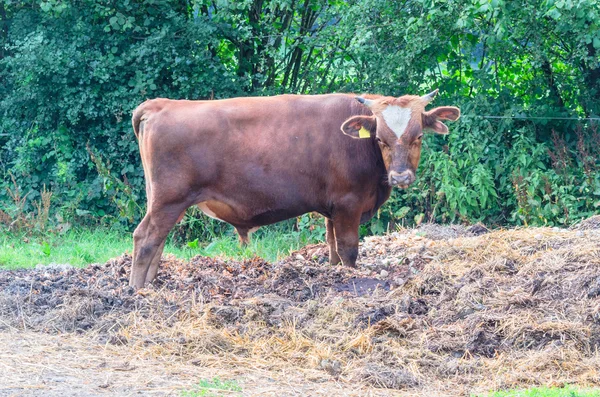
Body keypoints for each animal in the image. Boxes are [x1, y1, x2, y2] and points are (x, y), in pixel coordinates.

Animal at [131, 91, 460, 286]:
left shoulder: (333, 208)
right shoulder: (349, 203)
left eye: (418, 136)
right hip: (170, 199)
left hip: (164, 201)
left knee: (157, 241)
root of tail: (161, 104)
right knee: (145, 238)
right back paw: (138, 292)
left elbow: (332, 247)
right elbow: (349, 249)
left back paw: (150, 285)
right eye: (380, 138)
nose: (401, 177)